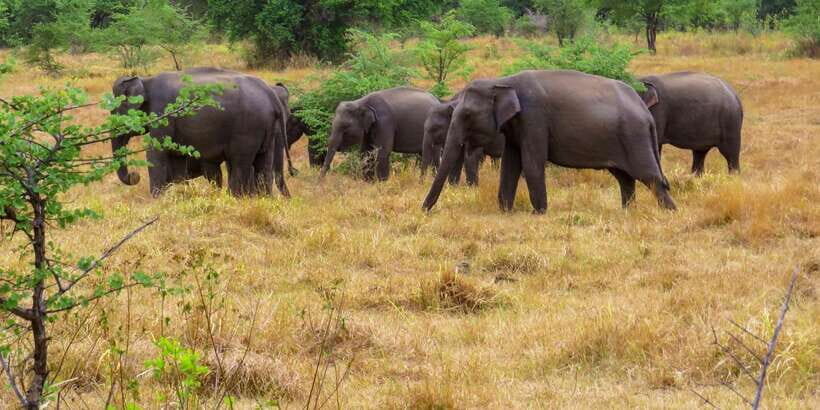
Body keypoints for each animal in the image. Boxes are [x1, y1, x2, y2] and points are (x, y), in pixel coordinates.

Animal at [111, 67, 290, 197]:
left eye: (115, 112)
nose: (134, 176)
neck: (146, 80)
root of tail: (271, 95)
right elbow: (177, 159)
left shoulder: (162, 112)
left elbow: (155, 153)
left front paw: (157, 201)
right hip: (267, 128)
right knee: (263, 164)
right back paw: (264, 200)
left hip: (247, 128)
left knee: (240, 163)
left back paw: (235, 199)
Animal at [422, 70, 677, 214]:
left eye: (467, 115)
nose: (424, 211)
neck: (503, 82)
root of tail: (645, 111)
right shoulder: (517, 127)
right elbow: (510, 165)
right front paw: (505, 211)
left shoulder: (534, 118)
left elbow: (532, 163)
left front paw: (539, 213)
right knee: (625, 178)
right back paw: (627, 212)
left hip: (634, 137)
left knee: (650, 177)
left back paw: (670, 213)